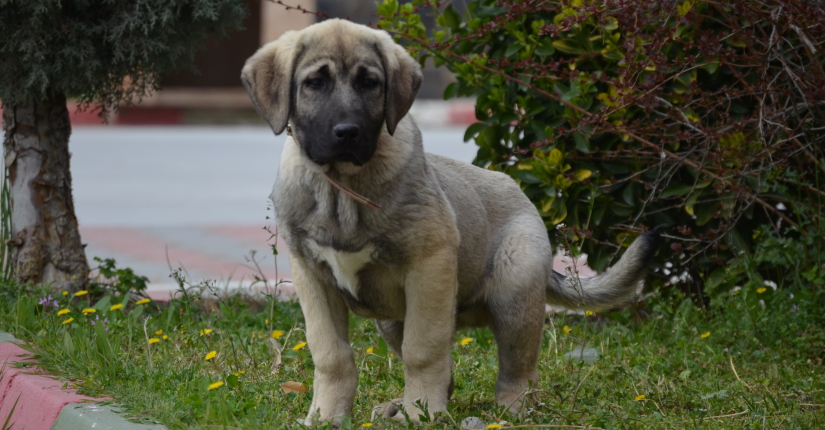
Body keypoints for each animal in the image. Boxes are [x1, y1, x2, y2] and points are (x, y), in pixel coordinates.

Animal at [238, 18, 656, 424]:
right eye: (314, 83)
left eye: (370, 83)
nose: (347, 133)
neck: (341, 188)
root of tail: (521, 192)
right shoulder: (311, 276)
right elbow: (331, 355)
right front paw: (327, 415)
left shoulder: (429, 265)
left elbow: (423, 349)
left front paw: (423, 411)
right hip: (392, 319)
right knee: (448, 368)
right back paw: (400, 406)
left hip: (514, 293)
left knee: (519, 368)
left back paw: (511, 407)